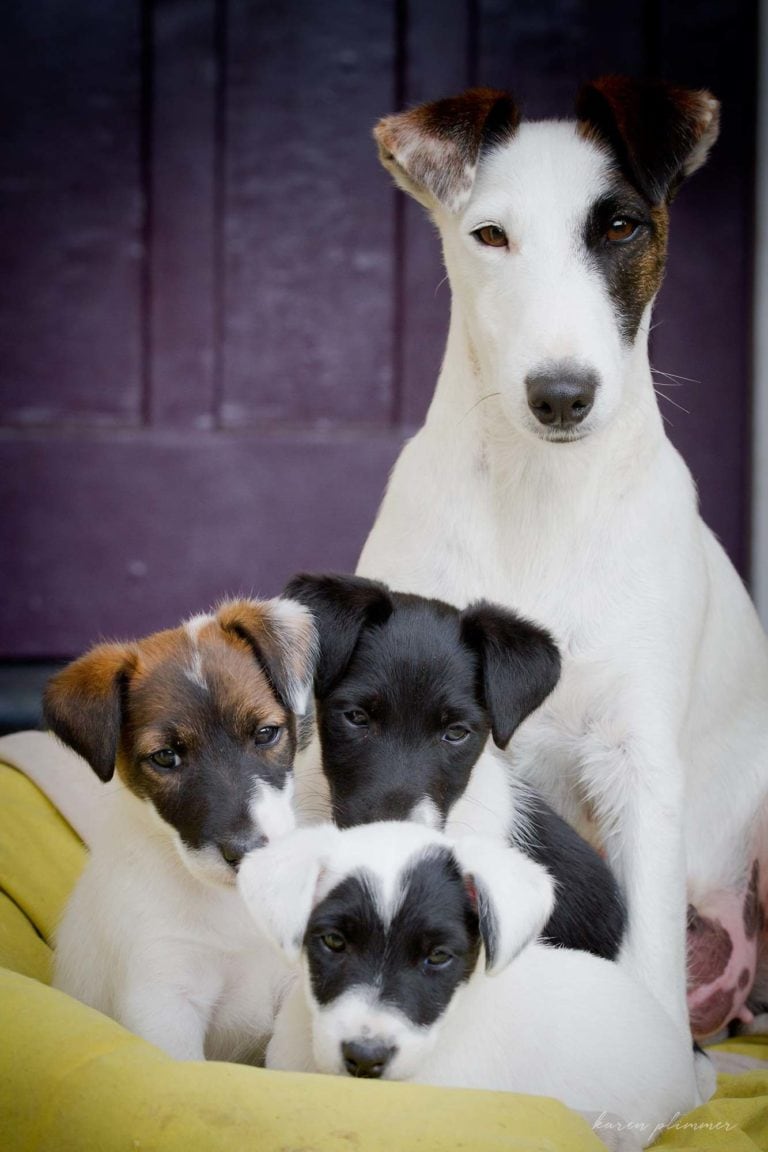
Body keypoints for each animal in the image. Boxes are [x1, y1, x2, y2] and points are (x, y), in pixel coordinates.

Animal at [42, 603, 317, 1059]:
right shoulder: (163, 1002)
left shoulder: (298, 991)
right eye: (165, 757)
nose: (248, 852)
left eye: (266, 733)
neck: (233, 906)